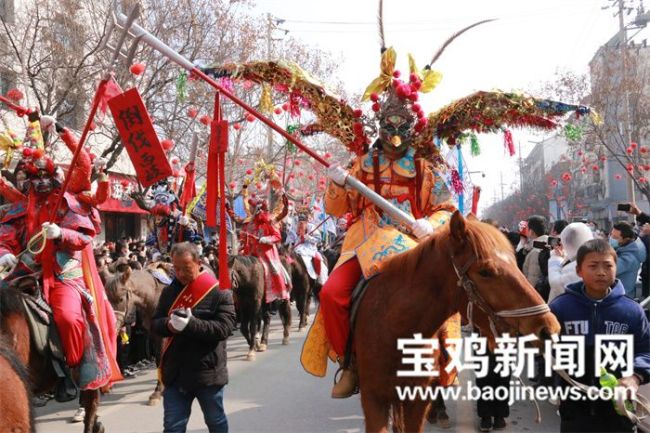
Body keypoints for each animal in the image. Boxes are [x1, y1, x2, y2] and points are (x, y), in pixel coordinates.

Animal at [352, 211, 560, 430]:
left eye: (515, 263)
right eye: (485, 272)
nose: (549, 327)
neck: (395, 329)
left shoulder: (417, 397)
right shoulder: (373, 398)